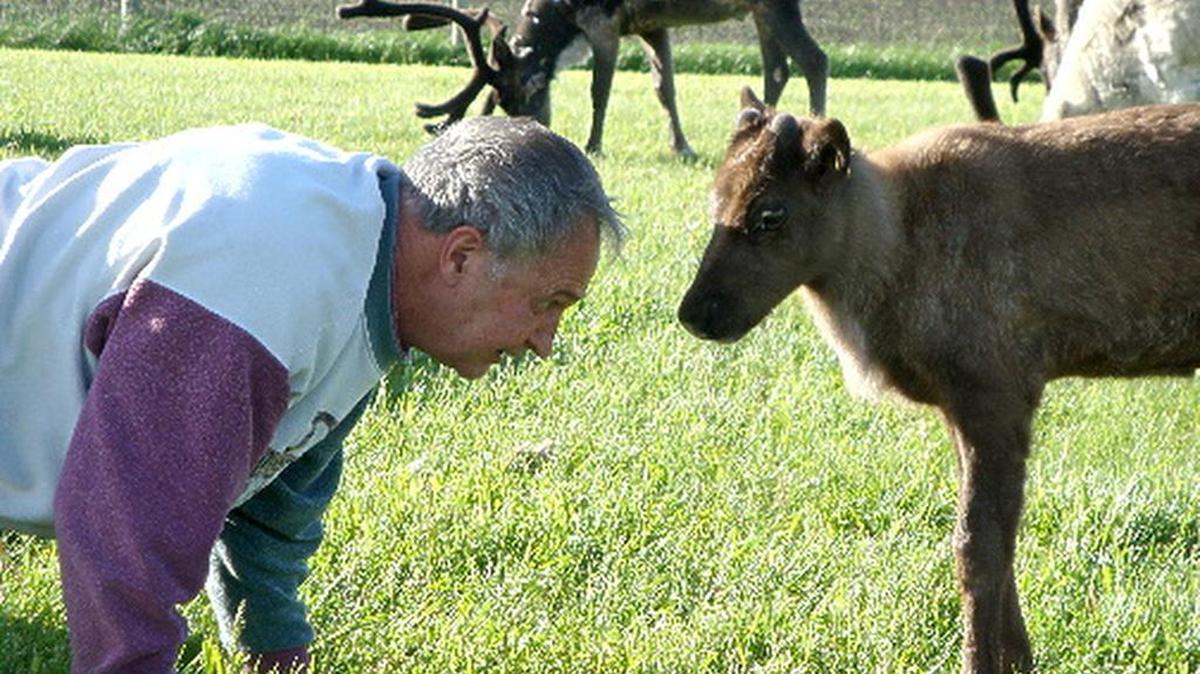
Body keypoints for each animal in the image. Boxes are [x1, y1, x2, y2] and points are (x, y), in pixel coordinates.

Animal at [337, 0, 828, 158]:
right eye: (503, 102)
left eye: (531, 88)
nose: (537, 128)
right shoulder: (650, 23)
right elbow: (664, 87)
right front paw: (681, 146)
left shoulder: (604, 21)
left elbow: (600, 89)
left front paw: (593, 145)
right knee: (778, 67)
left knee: (814, 59)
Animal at [678, 88, 1200, 673]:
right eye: (715, 201)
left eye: (771, 214)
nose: (695, 313)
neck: (893, 245)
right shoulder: (961, 406)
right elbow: (998, 539)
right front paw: (1018, 659)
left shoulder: (996, 394)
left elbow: (977, 546)